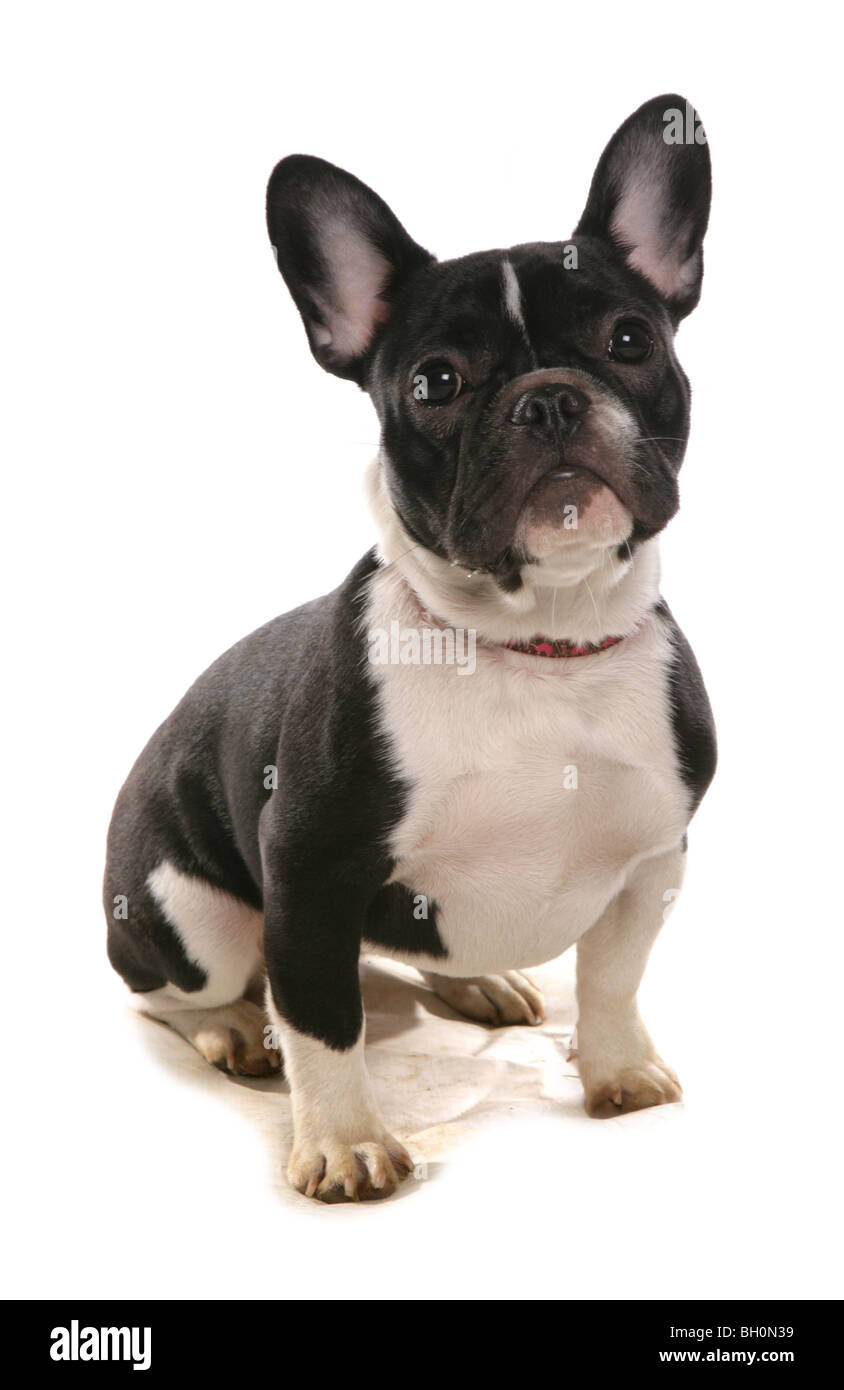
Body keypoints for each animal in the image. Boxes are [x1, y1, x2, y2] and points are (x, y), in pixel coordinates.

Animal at [102, 92, 717, 1200]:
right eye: (436, 382)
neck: (537, 647)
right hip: (187, 913)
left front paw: (616, 1071)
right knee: (174, 989)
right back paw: (228, 1028)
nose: (549, 396)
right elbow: (322, 1021)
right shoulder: (310, 866)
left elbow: (614, 976)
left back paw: (480, 980)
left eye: (630, 338)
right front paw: (345, 1140)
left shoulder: (653, 853)